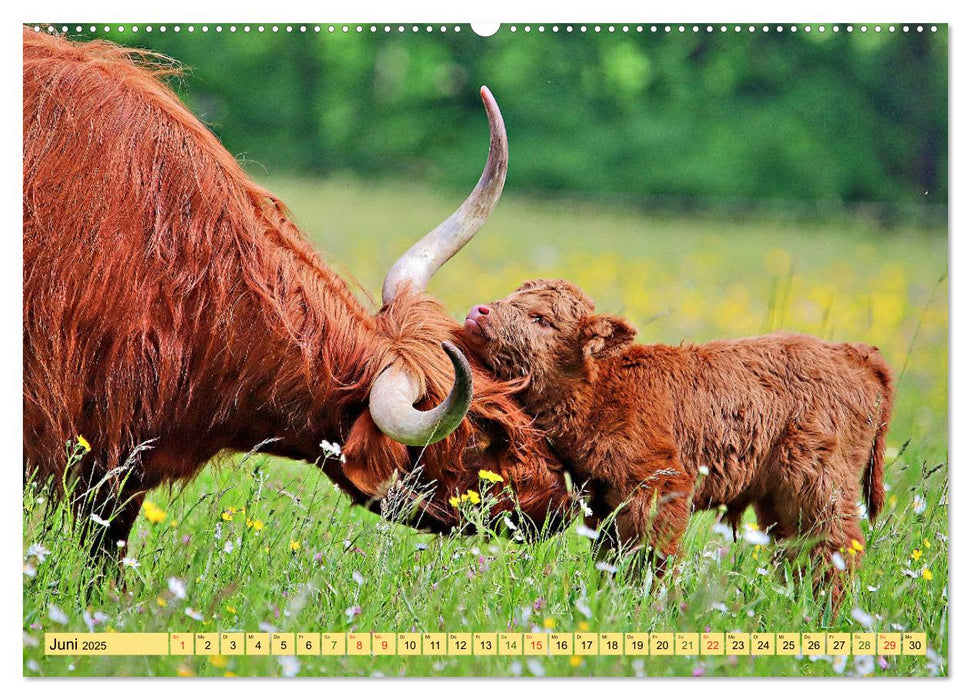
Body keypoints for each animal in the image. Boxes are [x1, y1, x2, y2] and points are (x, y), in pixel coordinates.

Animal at [464, 278, 896, 596]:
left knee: (835, 552)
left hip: (820, 486)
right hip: (781, 501)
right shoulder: (603, 499)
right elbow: (611, 558)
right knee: (797, 555)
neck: (602, 388)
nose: (478, 311)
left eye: (541, 319)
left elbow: (653, 560)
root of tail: (852, 353)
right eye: (510, 298)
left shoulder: (661, 486)